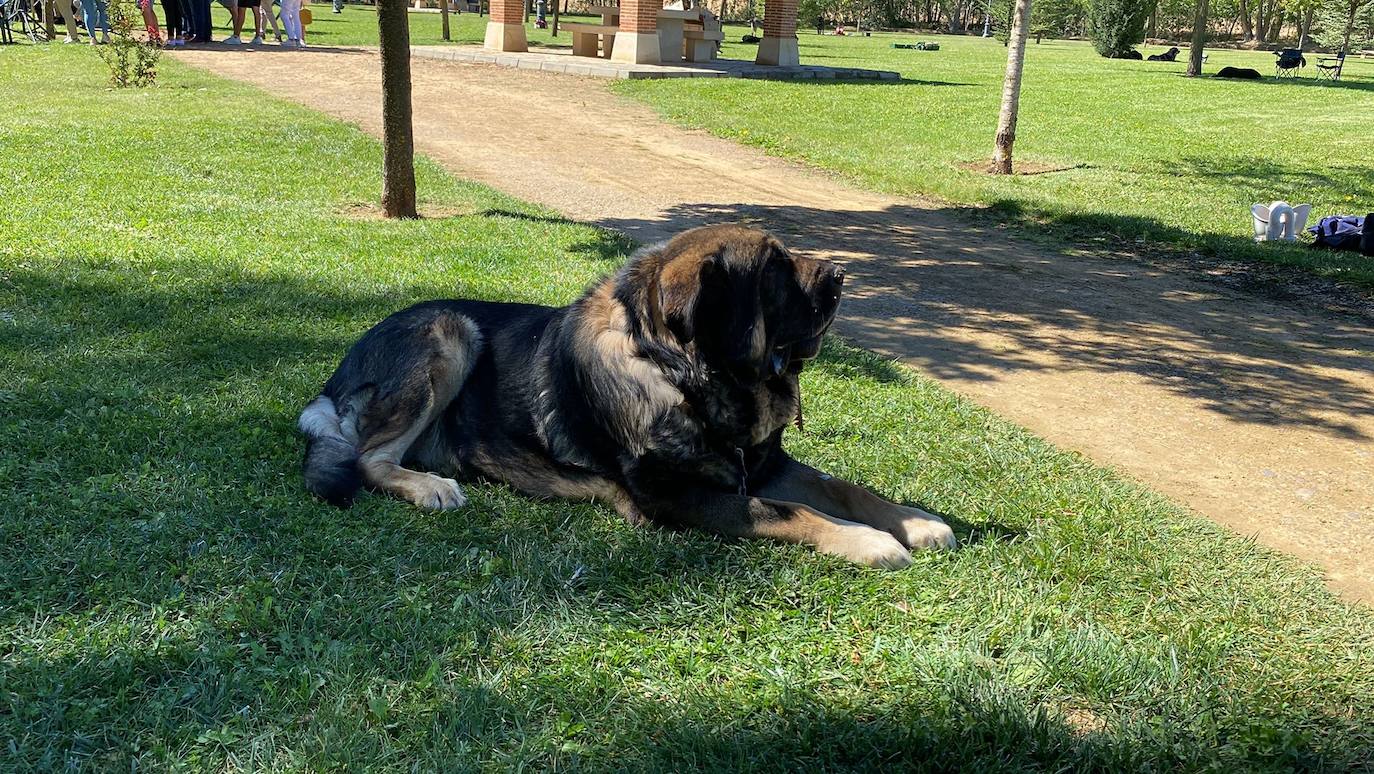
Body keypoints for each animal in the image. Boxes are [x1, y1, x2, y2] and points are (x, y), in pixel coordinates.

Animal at [298, 224, 956, 569]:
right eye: (774, 268)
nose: (843, 276)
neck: (686, 376)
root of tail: (334, 380)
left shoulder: (766, 465)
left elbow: (843, 488)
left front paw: (917, 522)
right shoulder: (673, 496)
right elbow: (790, 511)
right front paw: (868, 541)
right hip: (449, 332)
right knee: (369, 458)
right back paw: (427, 486)